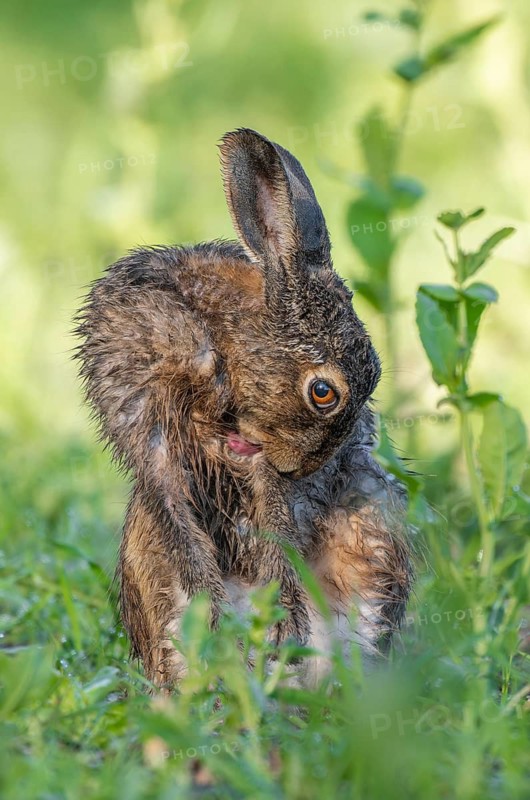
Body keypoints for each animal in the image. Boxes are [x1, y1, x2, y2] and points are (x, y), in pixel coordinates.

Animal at [75, 128, 412, 688]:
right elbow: (181, 521)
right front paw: (219, 622)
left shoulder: (257, 460)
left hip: (374, 536)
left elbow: (274, 522)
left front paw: (283, 622)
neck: (224, 340)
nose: (300, 469)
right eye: (324, 393)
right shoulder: (149, 425)